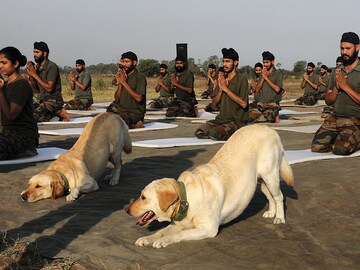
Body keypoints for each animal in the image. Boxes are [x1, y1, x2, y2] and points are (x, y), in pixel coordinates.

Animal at [125, 123, 294, 248]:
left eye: (143, 197)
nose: (126, 210)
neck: (186, 199)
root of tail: (269, 128)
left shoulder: (208, 228)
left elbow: (179, 235)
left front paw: (163, 241)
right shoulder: (178, 224)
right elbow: (162, 231)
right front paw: (148, 238)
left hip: (270, 175)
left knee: (279, 196)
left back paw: (279, 217)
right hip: (260, 181)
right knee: (271, 197)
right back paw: (271, 213)